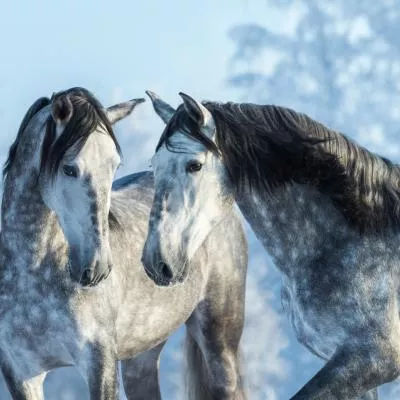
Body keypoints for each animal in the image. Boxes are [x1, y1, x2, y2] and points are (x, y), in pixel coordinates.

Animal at [0, 87, 247, 400]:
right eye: (69, 168)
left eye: (114, 166)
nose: (96, 268)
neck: (32, 271)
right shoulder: (21, 372)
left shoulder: (99, 362)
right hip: (140, 358)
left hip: (220, 341)